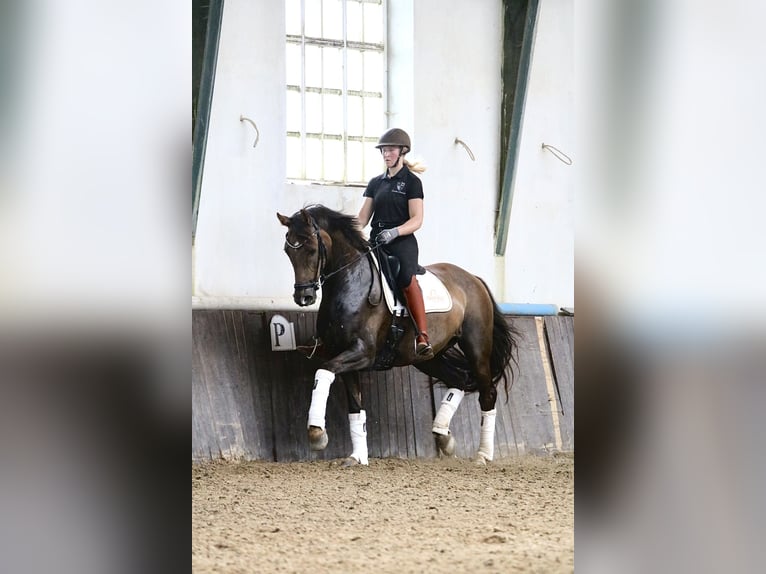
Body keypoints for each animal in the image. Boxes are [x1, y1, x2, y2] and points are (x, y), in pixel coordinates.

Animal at [276, 207, 520, 468]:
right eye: (288, 251)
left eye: (312, 248)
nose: (304, 297)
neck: (351, 284)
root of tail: (474, 279)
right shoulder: (343, 356)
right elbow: (355, 407)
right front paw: (357, 457)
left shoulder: (363, 353)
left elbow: (322, 371)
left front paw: (317, 434)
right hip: (428, 357)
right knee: (460, 380)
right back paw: (443, 436)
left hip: (477, 348)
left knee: (488, 393)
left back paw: (483, 455)